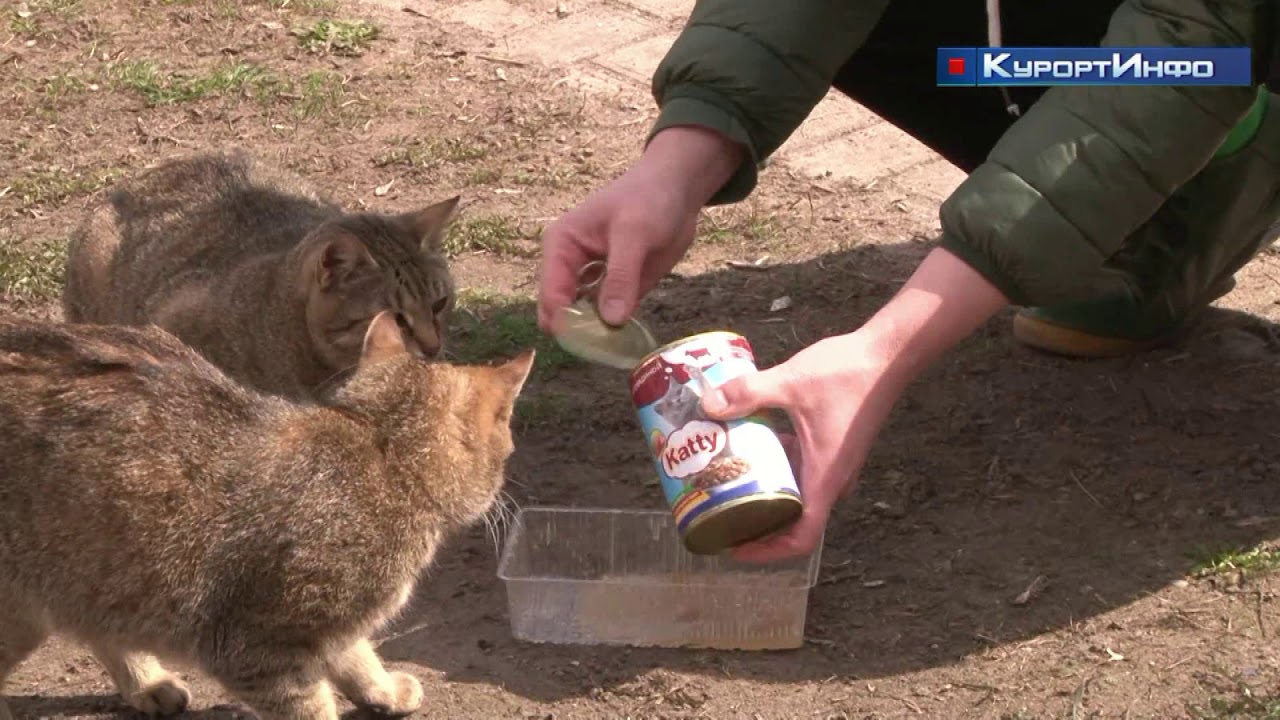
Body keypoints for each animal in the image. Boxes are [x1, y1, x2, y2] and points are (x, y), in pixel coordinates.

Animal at [0, 311, 532, 712]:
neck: (381, 454)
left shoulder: (326, 629)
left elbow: (356, 652)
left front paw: (379, 688)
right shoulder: (256, 652)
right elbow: (313, 705)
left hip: (93, 572)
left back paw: (147, 683)